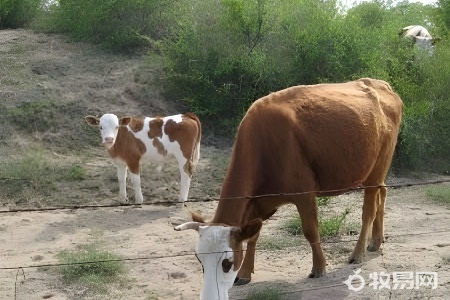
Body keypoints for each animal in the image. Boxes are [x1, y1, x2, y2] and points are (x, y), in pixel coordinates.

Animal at [175, 78, 400, 300]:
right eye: (200, 260)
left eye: (227, 263)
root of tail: (381, 84)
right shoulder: (255, 202)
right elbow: (253, 237)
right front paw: (245, 272)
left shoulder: (304, 193)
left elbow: (311, 231)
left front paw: (319, 268)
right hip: (377, 172)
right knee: (382, 194)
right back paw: (376, 241)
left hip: (377, 168)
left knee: (368, 210)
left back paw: (358, 253)